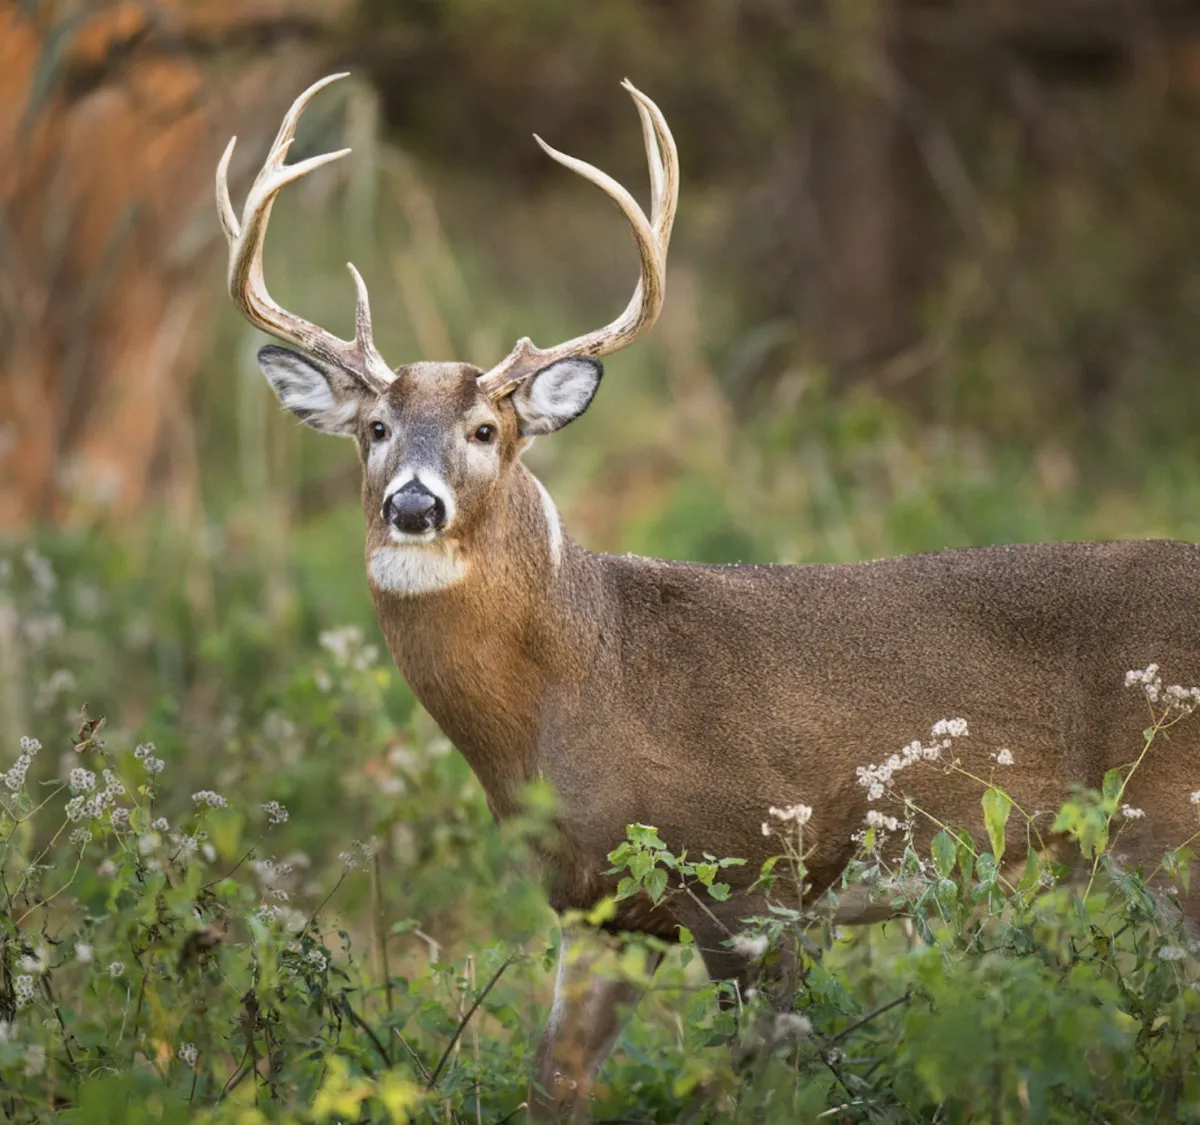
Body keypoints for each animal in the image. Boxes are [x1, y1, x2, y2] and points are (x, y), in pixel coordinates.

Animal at [218, 74, 1200, 1117]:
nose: (413, 503)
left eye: (487, 429)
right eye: (374, 427)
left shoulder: (755, 872)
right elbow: (554, 1078)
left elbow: (768, 1074)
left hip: (1171, 820)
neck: (584, 674)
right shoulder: (598, 903)